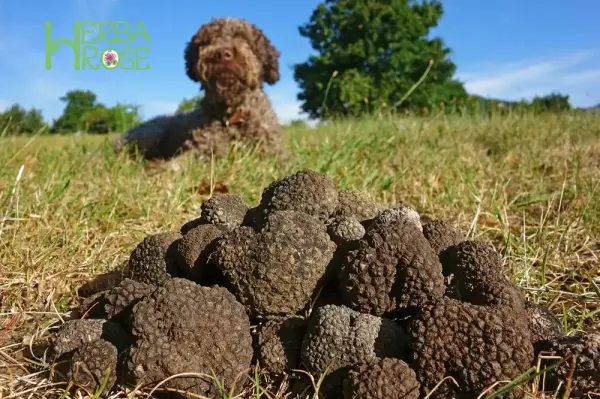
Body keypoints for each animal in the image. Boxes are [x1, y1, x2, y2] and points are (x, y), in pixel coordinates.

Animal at [115, 17, 288, 161]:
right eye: (207, 40)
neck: (232, 115)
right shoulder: (202, 150)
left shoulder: (272, 154)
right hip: (150, 134)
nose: (222, 54)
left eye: (243, 38)